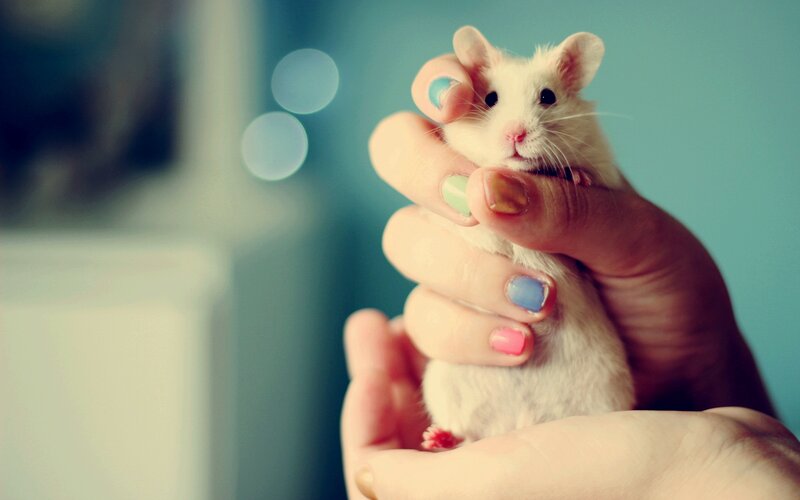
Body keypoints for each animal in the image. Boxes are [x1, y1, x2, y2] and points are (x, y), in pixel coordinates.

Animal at [421, 26, 634, 449]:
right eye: (490, 98)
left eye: (548, 96)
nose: (515, 134)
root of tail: (520, 424)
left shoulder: (605, 168)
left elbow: (588, 173)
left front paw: (574, 177)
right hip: (444, 383)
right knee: (466, 434)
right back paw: (435, 438)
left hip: (609, 388)